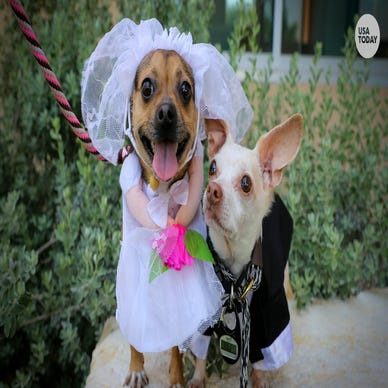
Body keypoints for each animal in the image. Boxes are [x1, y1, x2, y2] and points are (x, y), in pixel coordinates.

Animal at [188, 115, 304, 388]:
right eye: (212, 168)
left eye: (245, 184)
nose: (212, 189)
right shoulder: (204, 311)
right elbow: (200, 353)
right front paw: (197, 378)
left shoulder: (267, 318)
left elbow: (262, 358)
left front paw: (259, 379)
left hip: (284, 274)